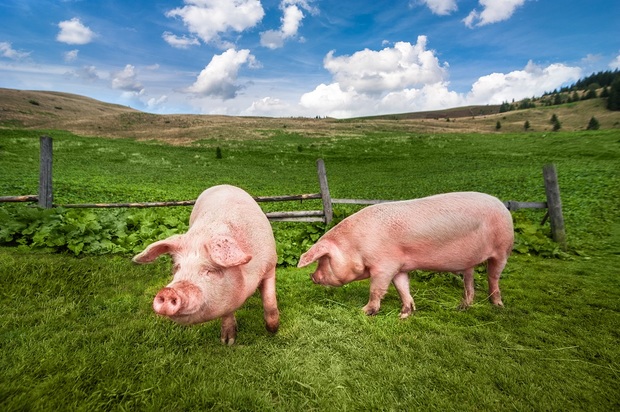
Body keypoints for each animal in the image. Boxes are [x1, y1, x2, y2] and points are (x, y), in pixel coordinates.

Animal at [133, 184, 278, 344]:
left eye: (210, 270)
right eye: (178, 268)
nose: (168, 291)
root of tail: (223, 184)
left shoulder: (270, 265)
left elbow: (270, 301)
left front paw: (273, 331)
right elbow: (228, 312)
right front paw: (227, 342)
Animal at [296, 192, 512, 318]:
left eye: (323, 260)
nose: (312, 276)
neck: (356, 246)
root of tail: (502, 206)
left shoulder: (384, 266)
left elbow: (376, 289)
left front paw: (364, 311)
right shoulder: (399, 267)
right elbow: (402, 288)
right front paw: (404, 314)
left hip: (502, 249)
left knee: (493, 277)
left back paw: (498, 306)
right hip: (469, 262)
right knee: (469, 280)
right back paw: (463, 307)